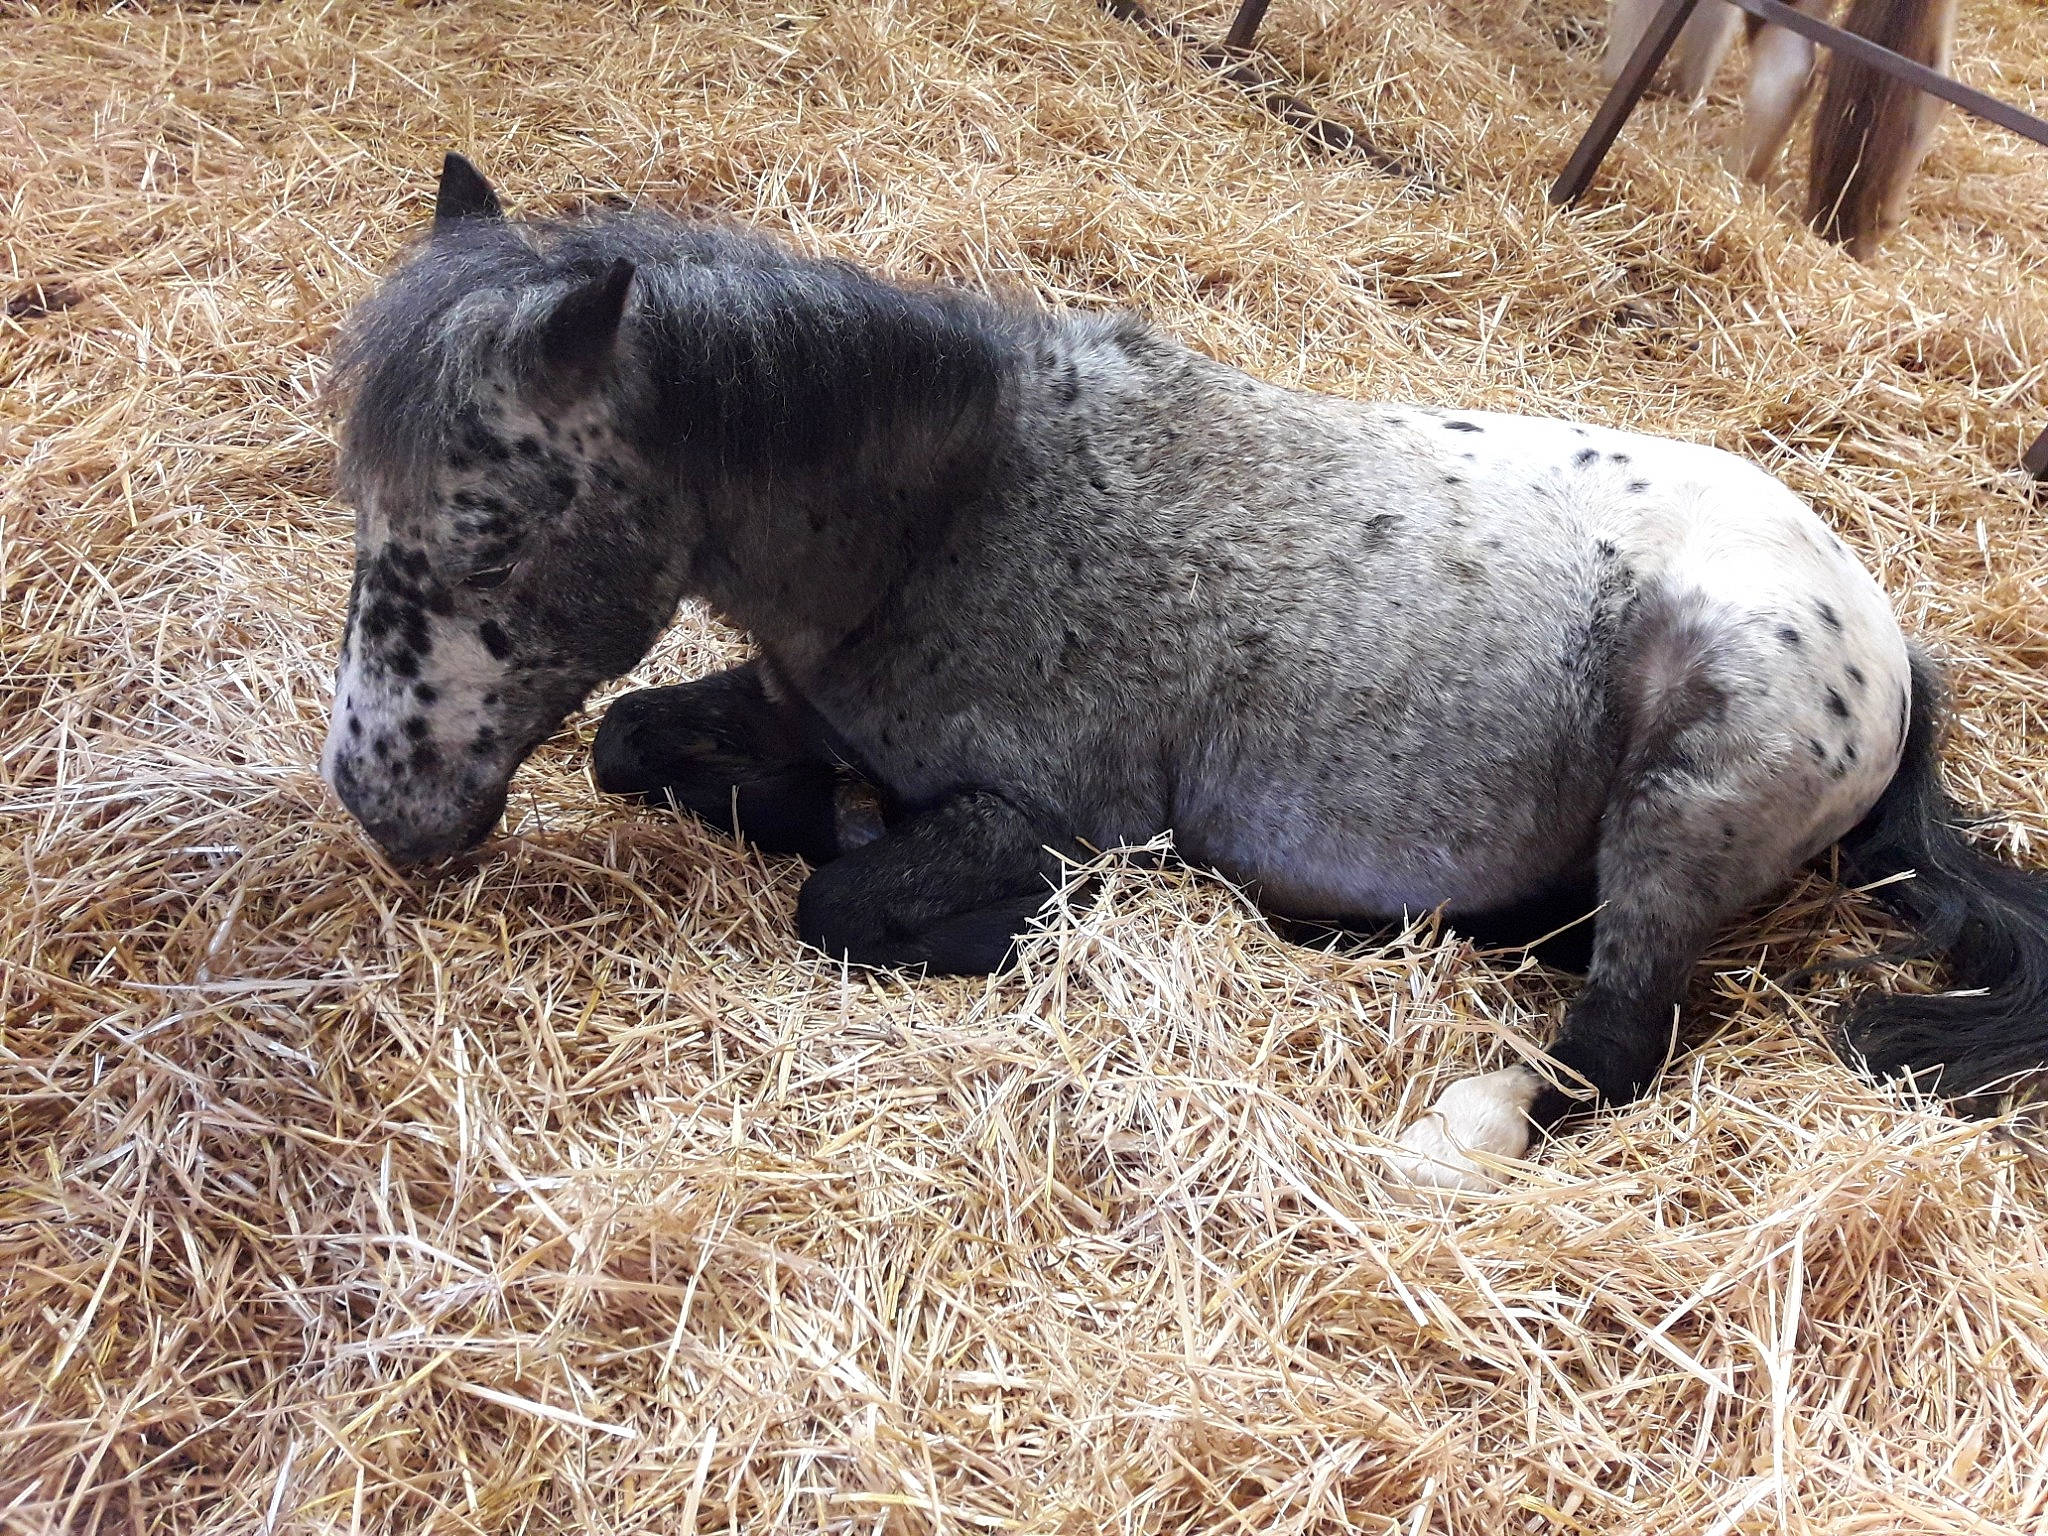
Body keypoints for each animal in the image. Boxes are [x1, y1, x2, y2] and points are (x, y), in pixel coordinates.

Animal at [320, 155, 2048, 1191]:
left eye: (488, 538)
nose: (377, 798)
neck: (955, 515)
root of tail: (1881, 634)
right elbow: (634, 743)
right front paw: (804, 800)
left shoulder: (1056, 816)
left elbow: (845, 899)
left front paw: (967, 911)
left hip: (1693, 792)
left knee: (1619, 1039)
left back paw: (1463, 1128)